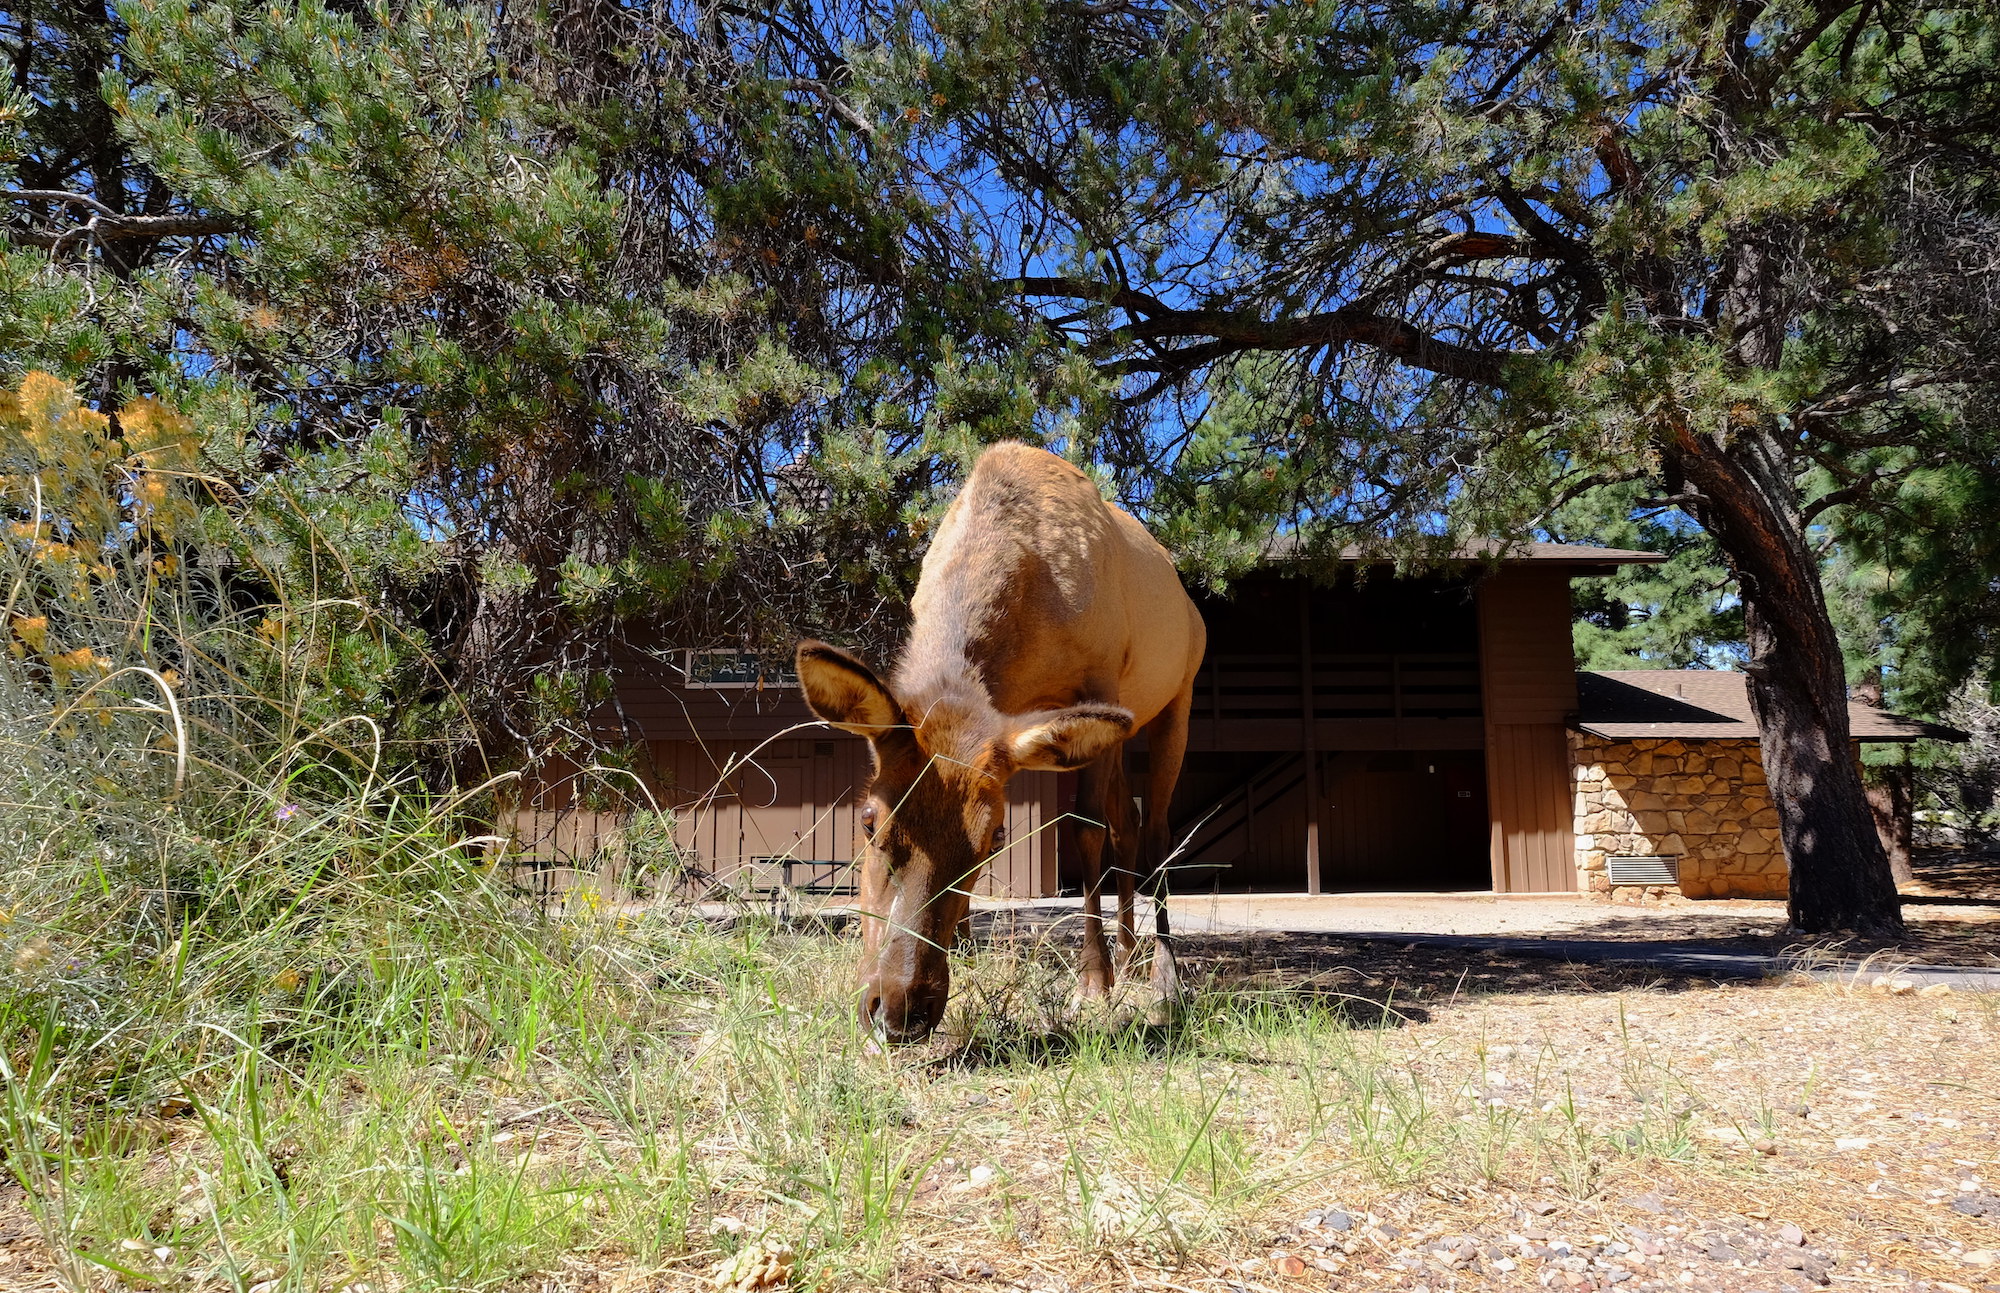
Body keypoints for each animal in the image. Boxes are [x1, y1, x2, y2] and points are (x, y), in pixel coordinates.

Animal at [796, 446, 1200, 1040]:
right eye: (868, 821)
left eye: (994, 836)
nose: (898, 1009)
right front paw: (966, 945)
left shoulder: (1100, 679)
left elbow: (1083, 829)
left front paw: (1092, 983)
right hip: (1120, 731)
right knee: (1126, 821)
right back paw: (1129, 956)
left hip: (1177, 696)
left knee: (1158, 831)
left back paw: (1162, 977)